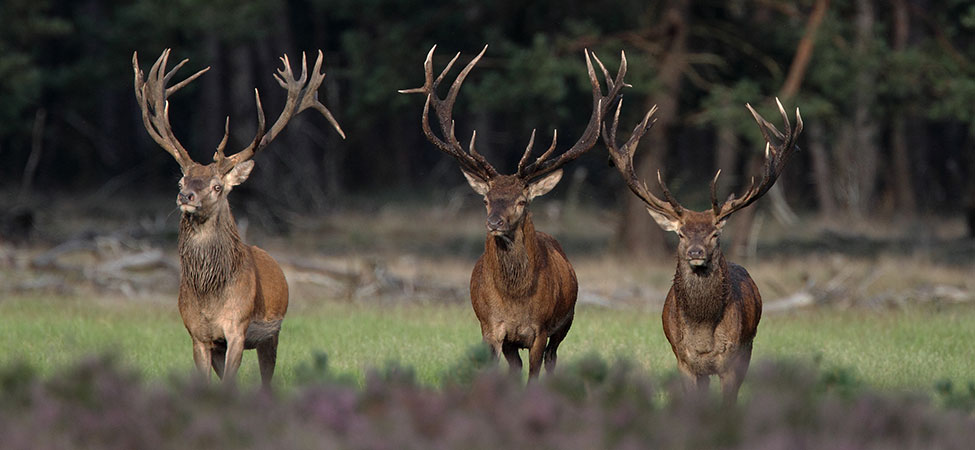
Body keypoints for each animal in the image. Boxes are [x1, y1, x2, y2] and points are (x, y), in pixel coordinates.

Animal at [130, 48, 344, 386]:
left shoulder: (237, 327)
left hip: (272, 333)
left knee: (267, 376)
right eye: (181, 181)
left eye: (217, 186)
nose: (186, 196)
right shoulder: (198, 335)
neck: (210, 296)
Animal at [400, 45, 628, 378]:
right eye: (486, 199)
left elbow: (534, 373)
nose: (493, 222)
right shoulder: (490, 328)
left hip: (565, 325)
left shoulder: (540, 330)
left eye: (522, 201)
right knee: (514, 365)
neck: (515, 301)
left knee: (552, 359)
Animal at [608, 97, 804, 400]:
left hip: (749, 346)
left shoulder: (732, 361)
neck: (702, 337)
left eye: (715, 234)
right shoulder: (683, 360)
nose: (696, 253)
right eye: (681, 234)